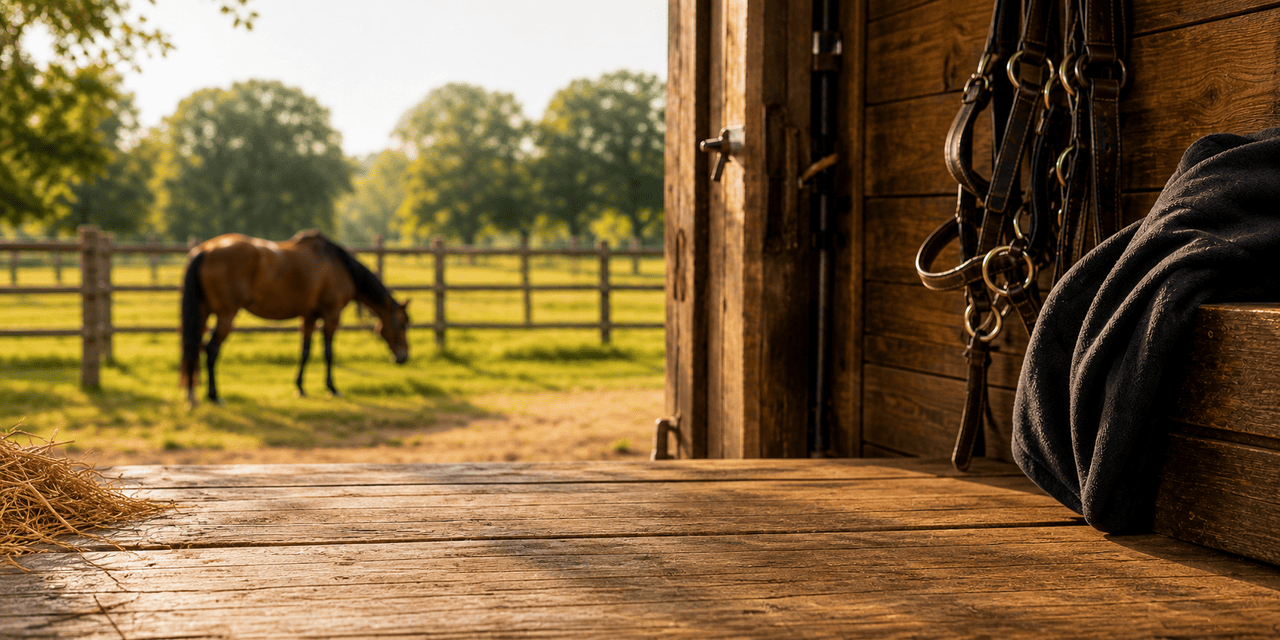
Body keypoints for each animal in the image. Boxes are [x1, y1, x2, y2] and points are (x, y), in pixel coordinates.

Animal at [179, 230, 410, 407]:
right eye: (403, 324)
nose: (403, 357)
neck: (336, 264)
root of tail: (206, 250)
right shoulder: (331, 315)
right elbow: (328, 352)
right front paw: (332, 388)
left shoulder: (309, 316)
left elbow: (305, 351)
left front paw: (300, 387)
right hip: (226, 315)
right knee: (210, 349)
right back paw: (214, 396)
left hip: (203, 313)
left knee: (194, 347)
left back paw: (191, 394)